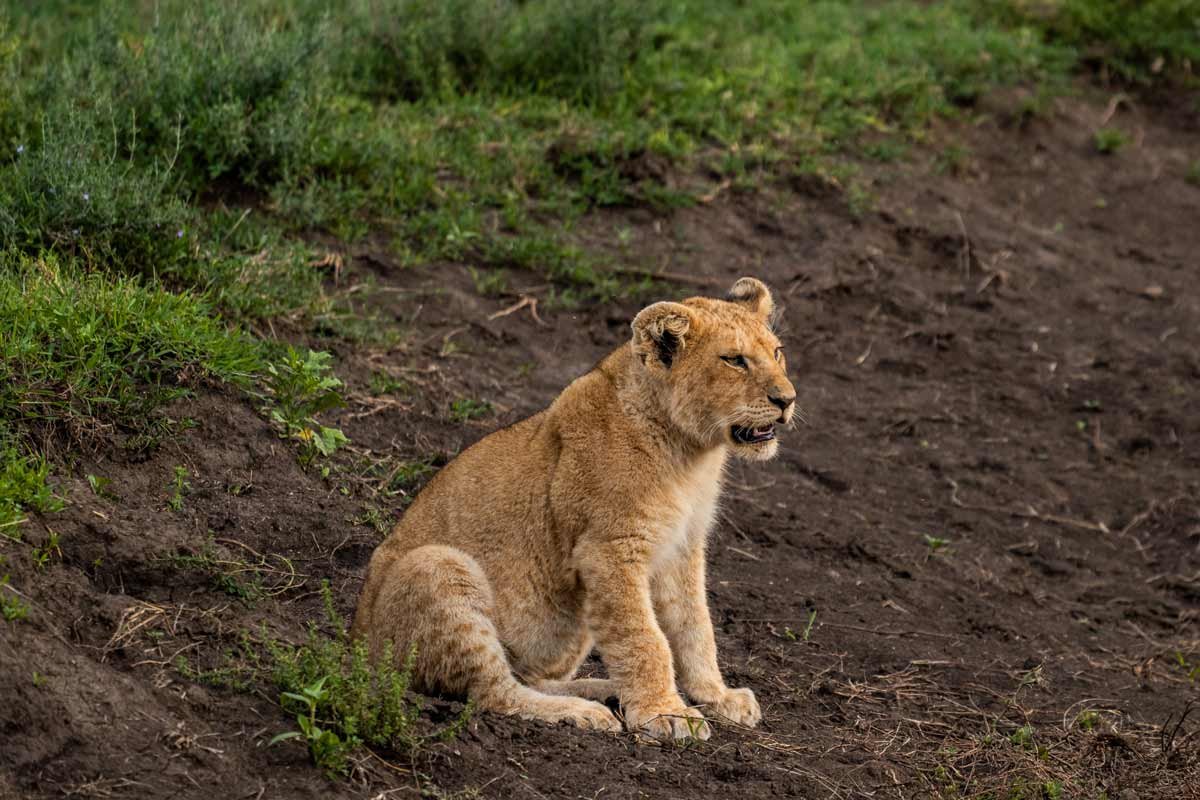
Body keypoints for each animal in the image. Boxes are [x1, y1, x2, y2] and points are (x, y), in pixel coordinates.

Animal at [350, 277, 796, 741]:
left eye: (777, 352)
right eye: (735, 360)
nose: (787, 399)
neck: (690, 455)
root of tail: (355, 647)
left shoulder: (683, 547)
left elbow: (695, 626)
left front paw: (717, 696)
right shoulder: (608, 550)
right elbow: (644, 637)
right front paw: (666, 713)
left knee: (528, 677)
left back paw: (603, 690)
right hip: (437, 565)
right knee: (494, 691)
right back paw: (583, 711)